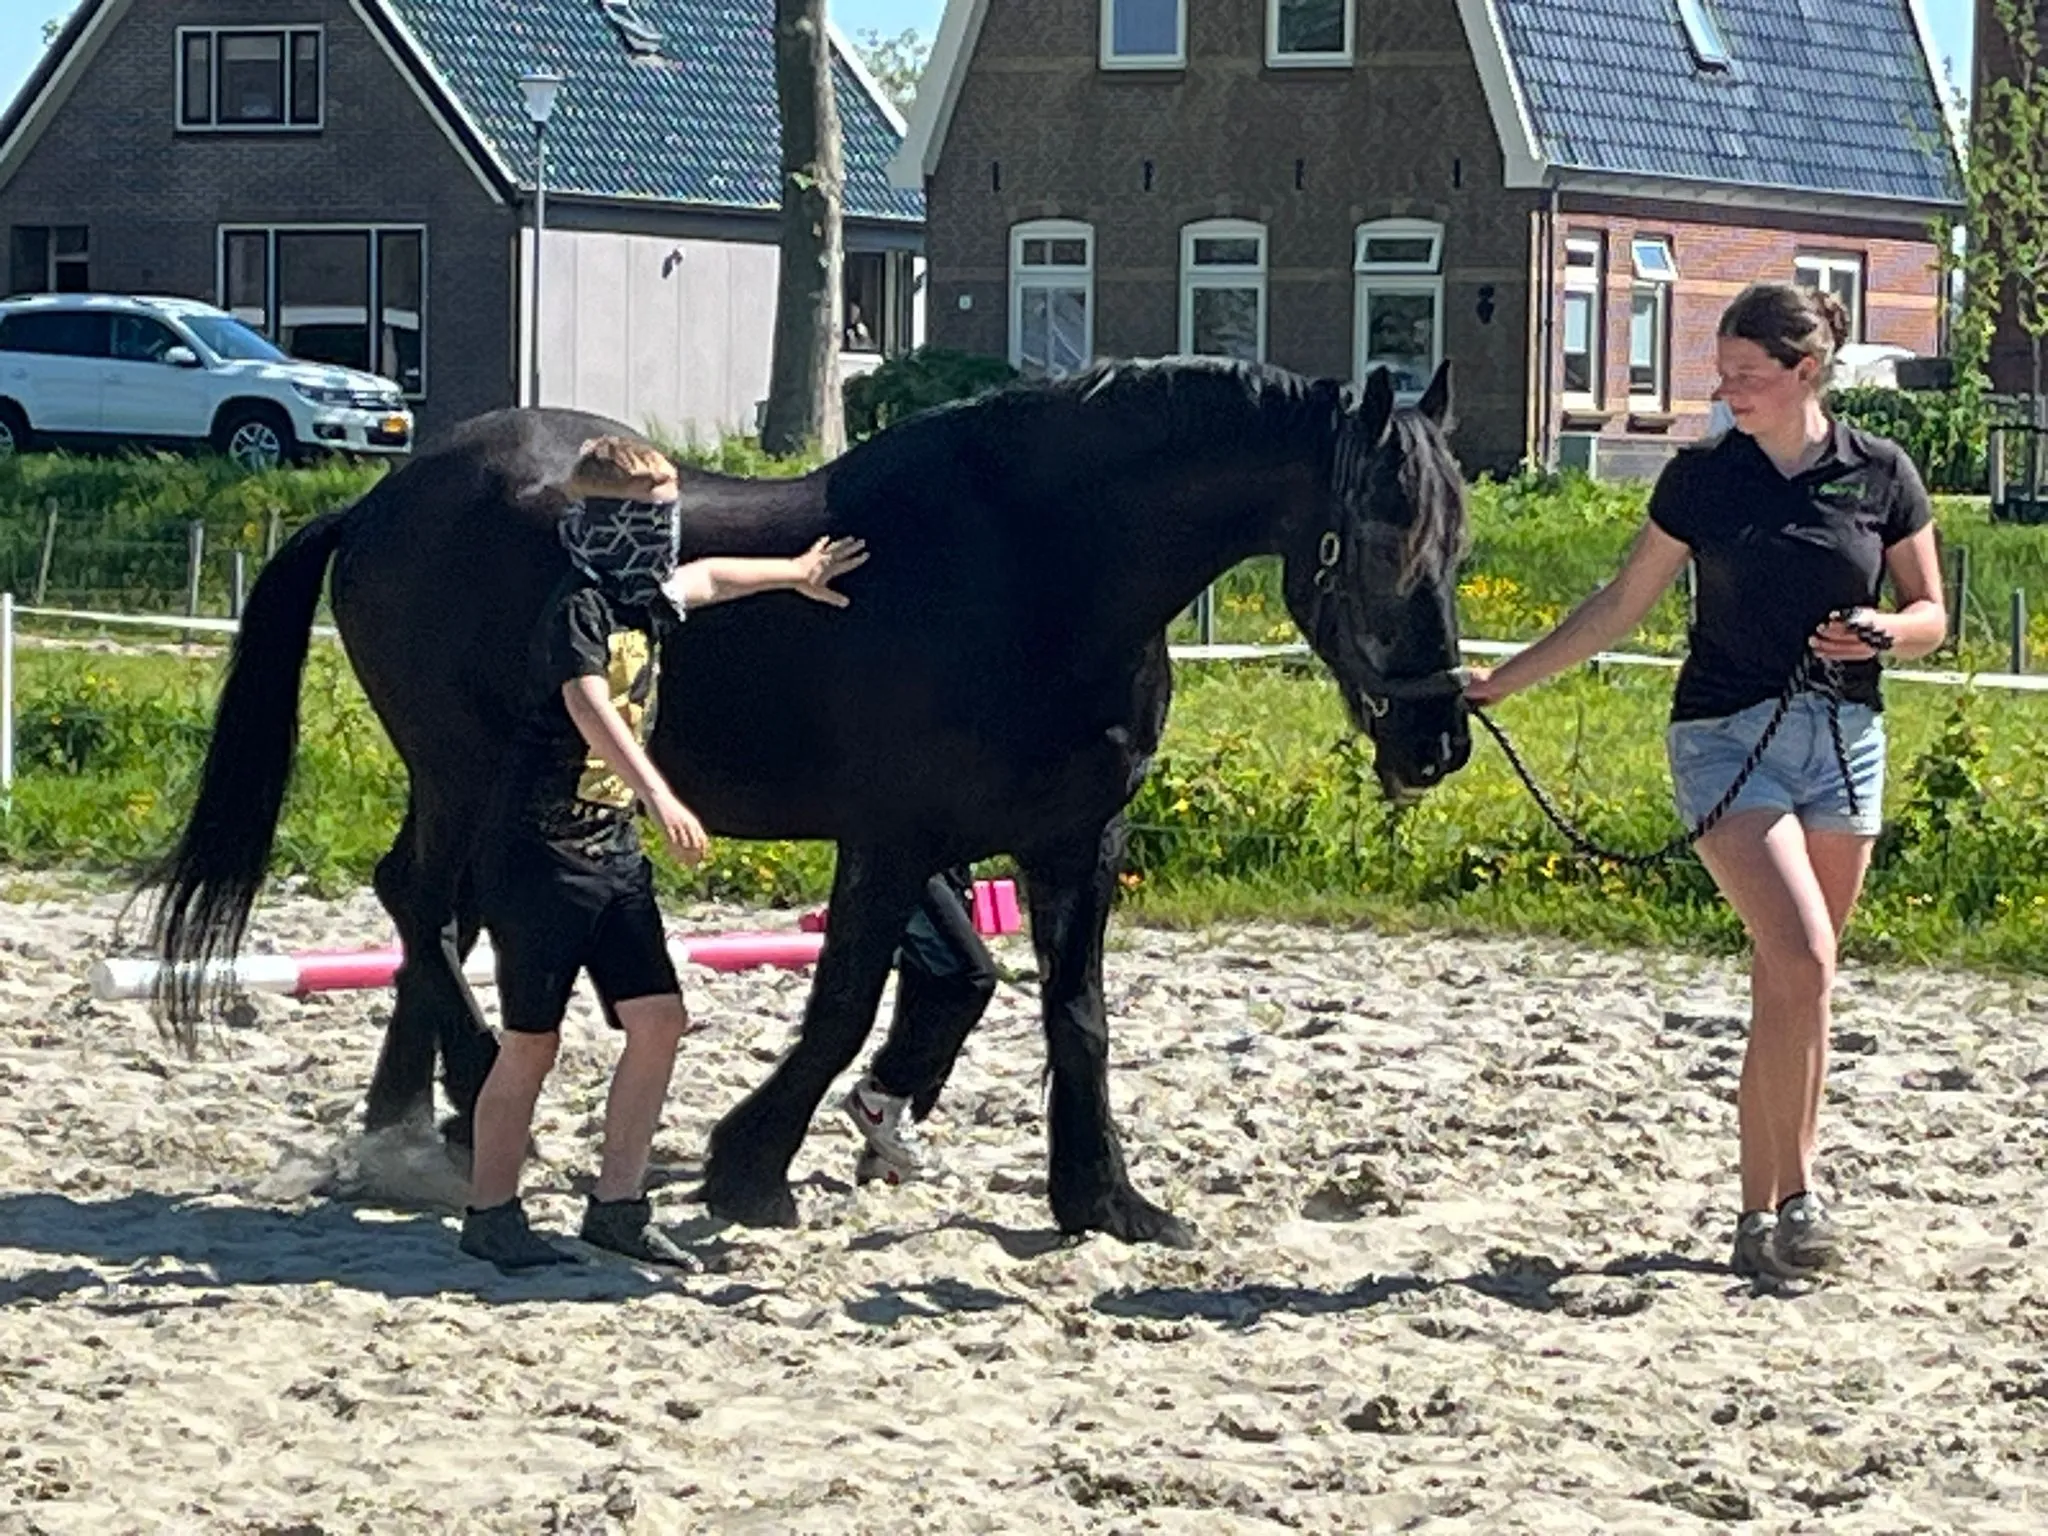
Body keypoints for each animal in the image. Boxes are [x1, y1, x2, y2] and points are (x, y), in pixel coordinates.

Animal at [144, 354, 1472, 1249]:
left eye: (1454, 548)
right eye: (1375, 536)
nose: (1438, 741)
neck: (1041, 572)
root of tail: (379, 500)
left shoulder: (1072, 845)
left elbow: (1066, 1015)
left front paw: (1103, 1198)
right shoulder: (887, 839)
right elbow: (839, 1007)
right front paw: (748, 1166)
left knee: (437, 914)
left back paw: (410, 1132)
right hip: (460, 766)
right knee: (418, 902)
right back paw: (470, 1103)